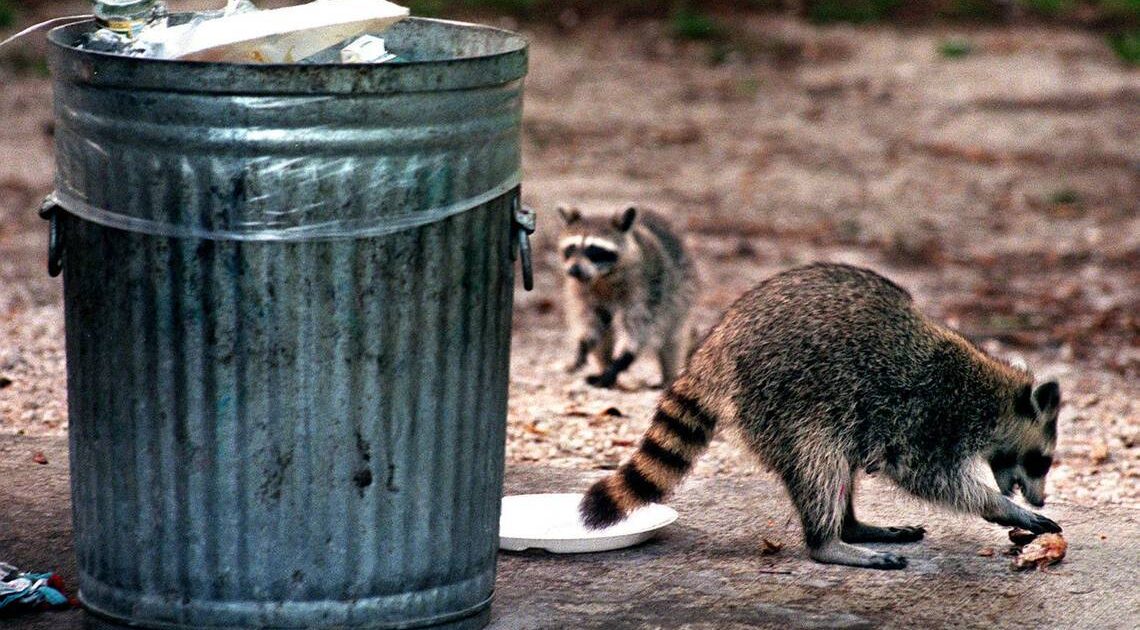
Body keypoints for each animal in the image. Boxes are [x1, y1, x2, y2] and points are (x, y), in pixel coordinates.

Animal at [556, 203, 697, 385]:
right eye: (571, 248)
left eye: (594, 250)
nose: (574, 270)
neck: (603, 277)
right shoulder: (581, 290)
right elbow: (589, 319)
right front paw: (583, 344)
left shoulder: (647, 287)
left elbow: (639, 325)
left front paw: (622, 358)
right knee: (605, 336)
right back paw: (604, 366)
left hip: (681, 292)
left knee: (672, 338)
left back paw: (667, 375)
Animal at [583, 263, 1062, 567]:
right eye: (1041, 460)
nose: (1039, 498)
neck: (994, 397)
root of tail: (721, 337)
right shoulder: (931, 413)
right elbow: (928, 476)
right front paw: (1000, 506)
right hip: (782, 397)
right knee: (820, 462)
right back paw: (828, 541)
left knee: (838, 461)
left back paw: (851, 526)